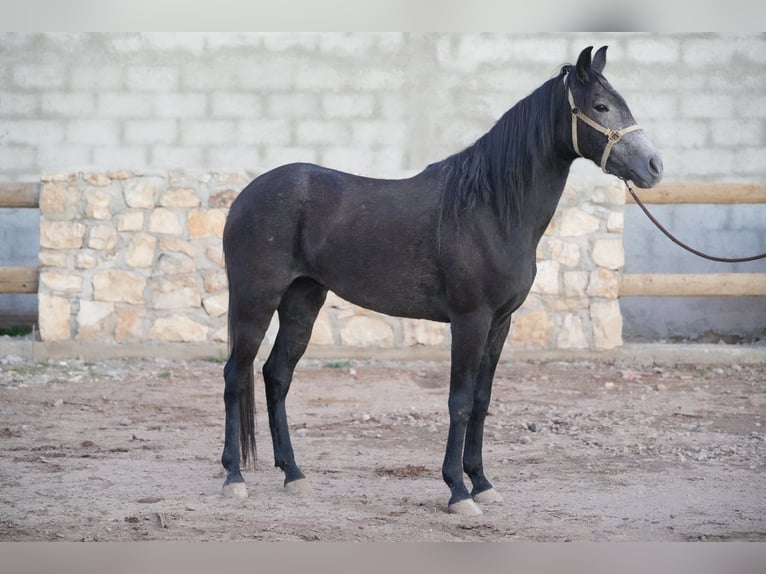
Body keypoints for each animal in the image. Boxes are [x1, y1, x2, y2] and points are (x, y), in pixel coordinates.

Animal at [220, 45, 663, 516]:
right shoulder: (470, 320)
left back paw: (294, 474)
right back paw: (234, 476)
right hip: (255, 302)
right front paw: (457, 491)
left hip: (302, 301)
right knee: (235, 375)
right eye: (600, 106)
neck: (492, 208)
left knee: (276, 376)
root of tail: (244, 198)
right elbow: (460, 401)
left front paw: (482, 482)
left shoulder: (500, 323)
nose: (654, 166)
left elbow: (482, 402)